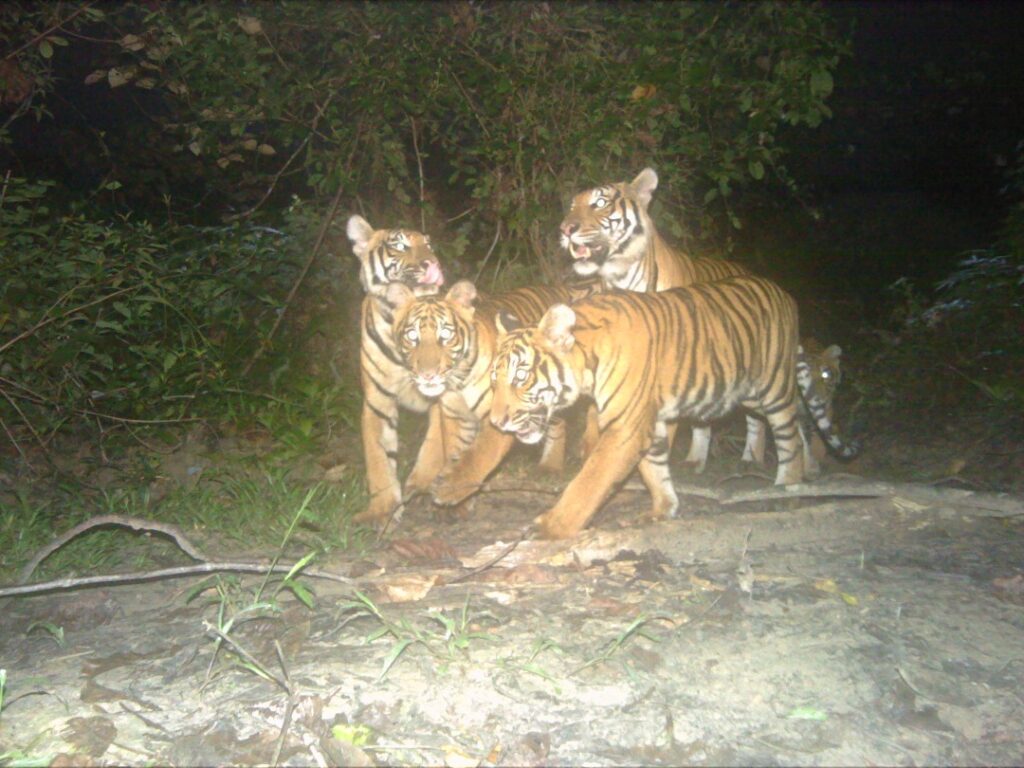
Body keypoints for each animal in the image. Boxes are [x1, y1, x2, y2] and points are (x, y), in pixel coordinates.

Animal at [346, 215, 446, 524]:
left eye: (429, 245)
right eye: (400, 246)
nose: (433, 263)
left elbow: (435, 444)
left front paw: (421, 484)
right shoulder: (377, 402)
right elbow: (378, 459)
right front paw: (383, 510)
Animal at [387, 276, 602, 493]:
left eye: (446, 335)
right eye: (412, 336)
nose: (427, 375)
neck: (459, 382)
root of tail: (559, 287)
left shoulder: (502, 414)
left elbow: (482, 454)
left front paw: (452, 488)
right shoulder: (455, 417)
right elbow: (454, 454)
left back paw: (550, 467)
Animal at [436, 278, 860, 540]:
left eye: (521, 377)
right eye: (494, 381)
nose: (497, 419)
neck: (588, 361)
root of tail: (784, 293)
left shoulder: (625, 426)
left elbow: (589, 480)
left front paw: (552, 526)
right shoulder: (649, 424)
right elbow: (655, 469)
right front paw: (662, 509)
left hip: (772, 388)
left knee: (791, 435)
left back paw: (790, 488)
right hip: (750, 393)